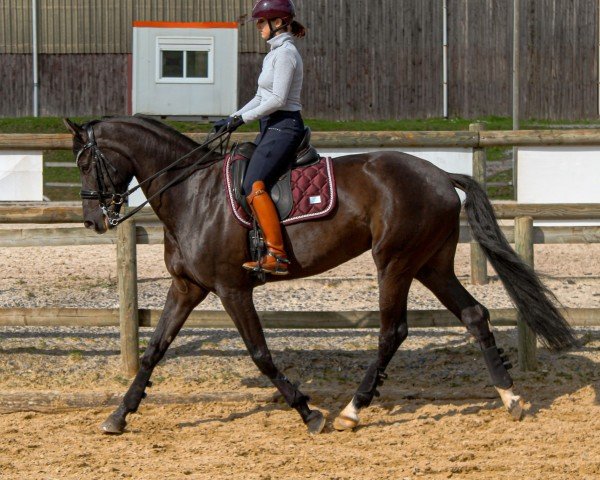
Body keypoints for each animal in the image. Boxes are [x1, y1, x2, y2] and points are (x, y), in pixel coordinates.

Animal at [62, 115, 576, 436]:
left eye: (86, 162)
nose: (92, 221)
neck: (193, 194)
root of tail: (439, 175)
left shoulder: (231, 289)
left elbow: (261, 354)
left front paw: (309, 412)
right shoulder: (187, 287)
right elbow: (154, 350)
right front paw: (118, 415)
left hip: (394, 263)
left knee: (393, 331)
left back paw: (351, 411)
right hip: (431, 264)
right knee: (474, 314)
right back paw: (510, 399)